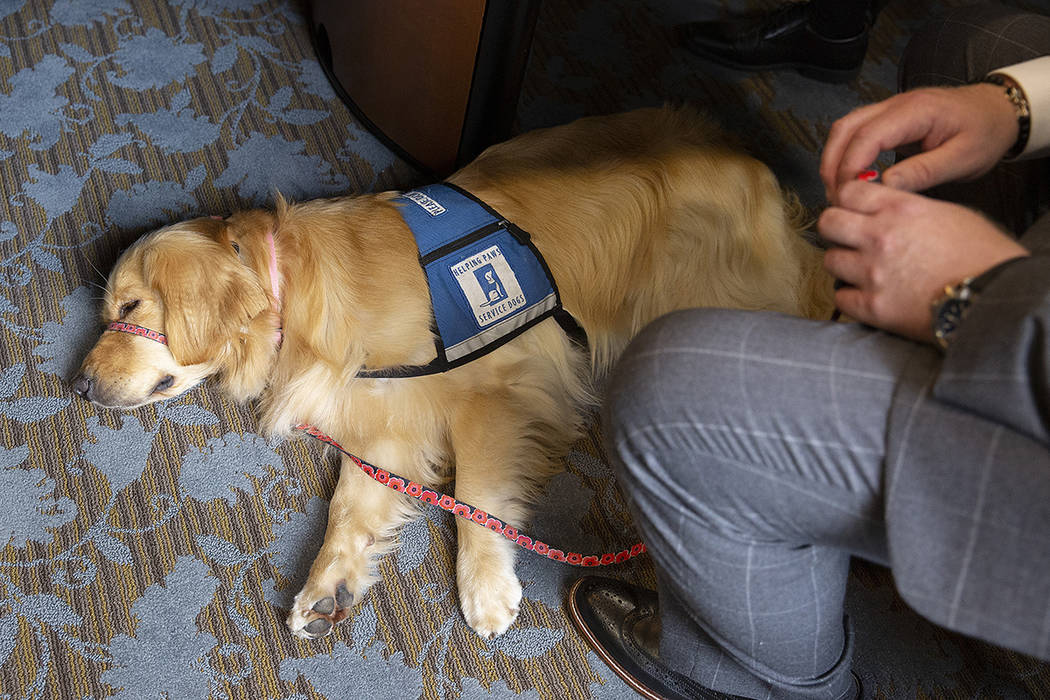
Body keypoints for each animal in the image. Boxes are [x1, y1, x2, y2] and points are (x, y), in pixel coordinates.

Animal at [74, 105, 831, 642]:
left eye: (131, 308)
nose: (77, 385)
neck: (294, 296)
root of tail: (751, 162)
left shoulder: (493, 389)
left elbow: (479, 494)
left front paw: (485, 585)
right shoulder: (384, 420)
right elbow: (350, 506)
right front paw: (328, 584)